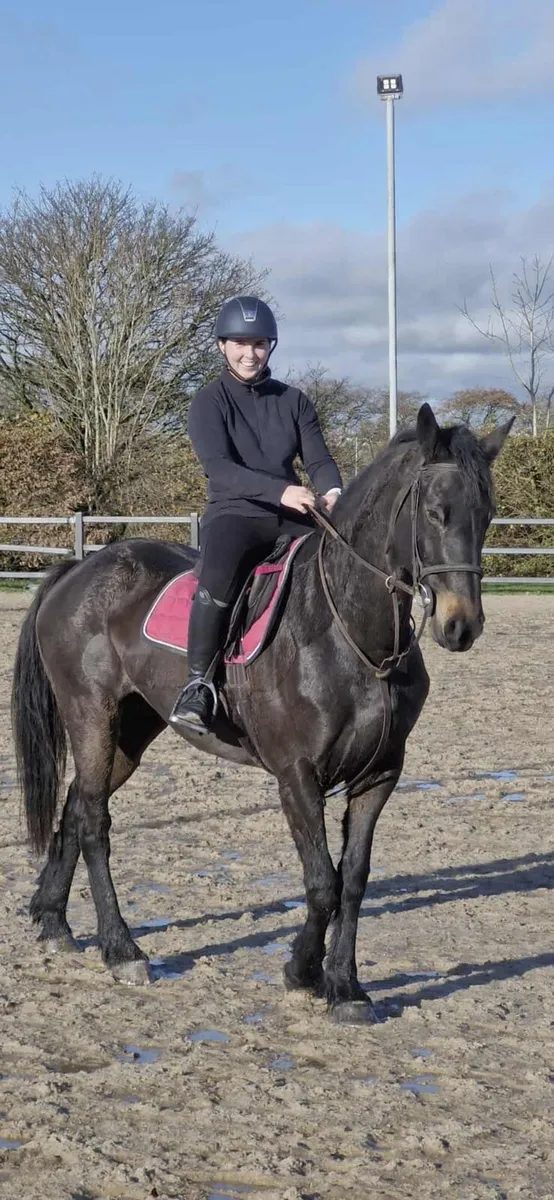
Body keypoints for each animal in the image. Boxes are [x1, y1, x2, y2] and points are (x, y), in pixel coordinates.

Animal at [11, 404, 512, 1024]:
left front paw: (346, 988)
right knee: (93, 823)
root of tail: (82, 569)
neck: (348, 633)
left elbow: (354, 881)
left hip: (129, 731)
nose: (461, 626)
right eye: (436, 512)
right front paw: (302, 972)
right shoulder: (297, 776)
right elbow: (322, 882)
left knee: (79, 804)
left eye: (486, 515)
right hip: (91, 716)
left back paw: (54, 921)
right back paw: (121, 949)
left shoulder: (379, 775)